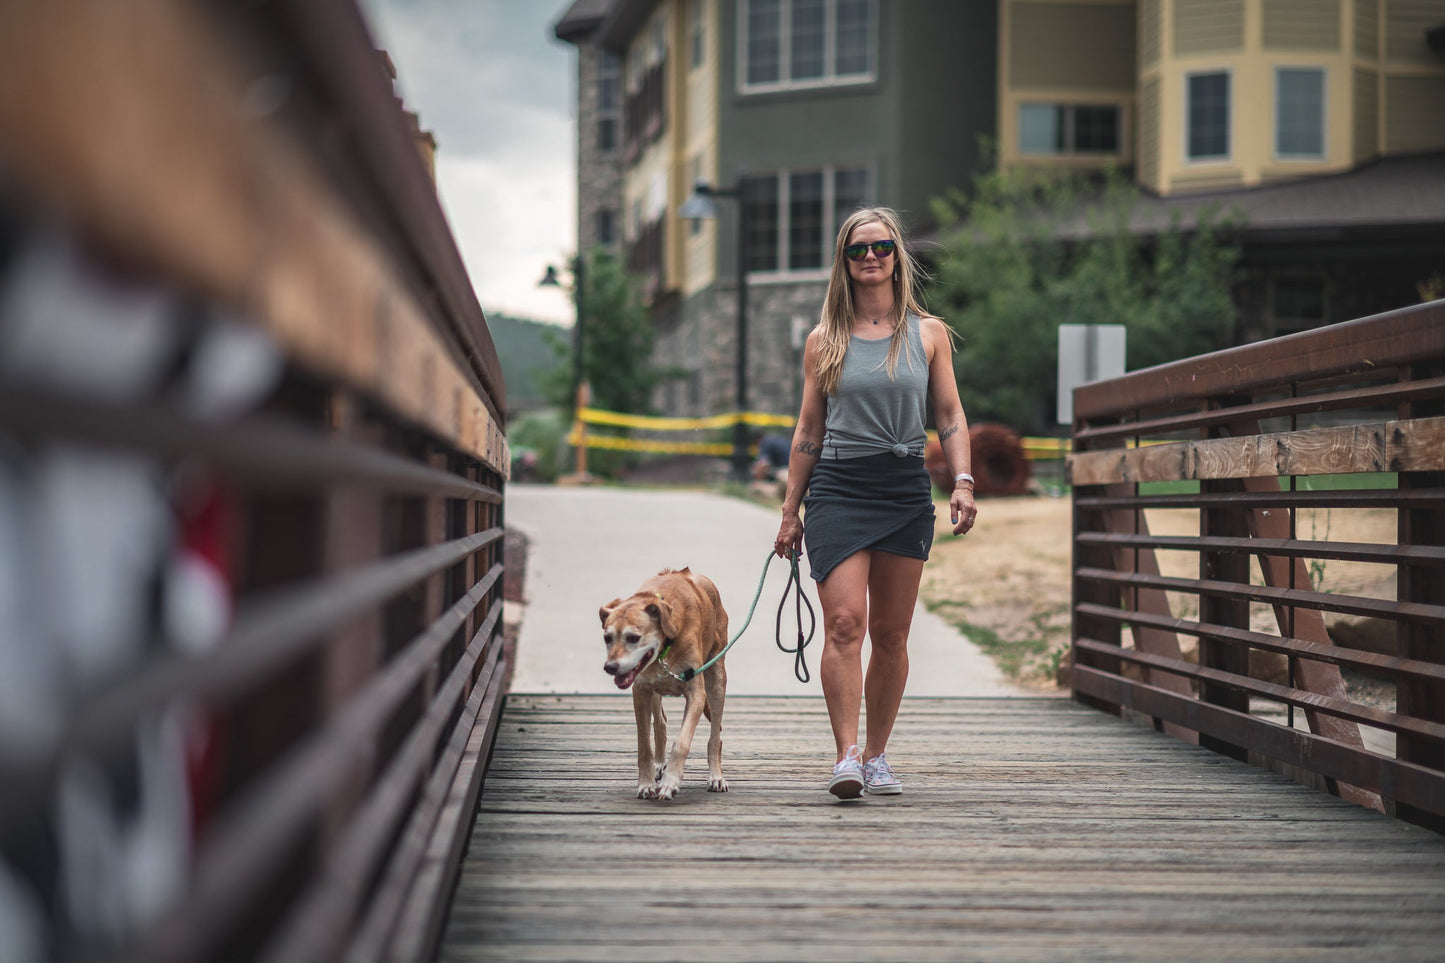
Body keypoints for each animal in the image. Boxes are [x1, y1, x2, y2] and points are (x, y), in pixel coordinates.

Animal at [601, 563, 734, 792]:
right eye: (607, 638)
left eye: (633, 637)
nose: (610, 667)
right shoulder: (641, 690)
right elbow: (644, 744)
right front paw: (646, 784)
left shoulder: (696, 694)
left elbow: (681, 742)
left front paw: (670, 782)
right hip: (655, 690)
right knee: (660, 723)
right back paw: (659, 763)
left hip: (717, 678)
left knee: (715, 736)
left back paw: (716, 776)